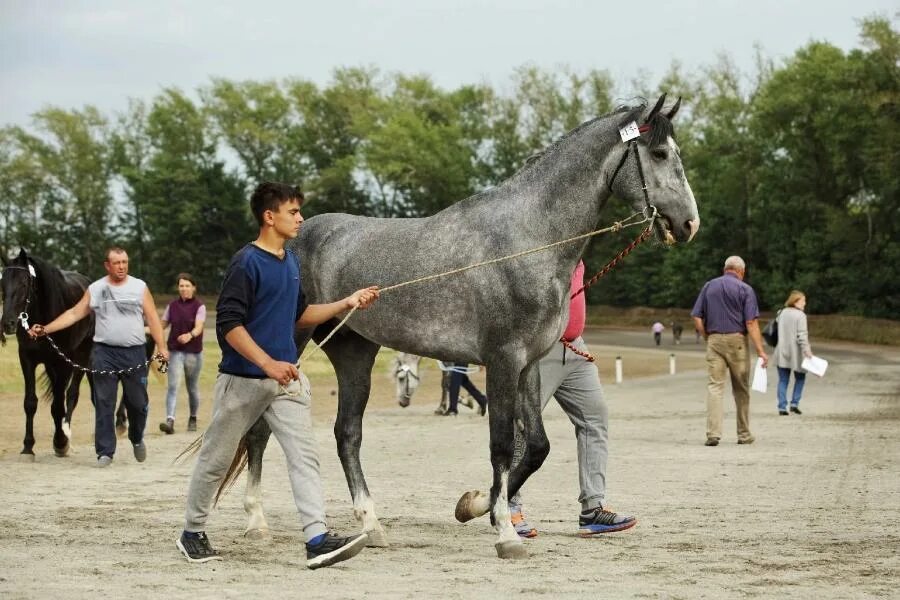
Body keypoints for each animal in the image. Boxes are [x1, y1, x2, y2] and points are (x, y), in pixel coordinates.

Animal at [0, 248, 94, 460]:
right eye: (2, 283)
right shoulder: (27, 359)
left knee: (72, 395)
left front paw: (60, 442)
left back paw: (67, 436)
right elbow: (30, 402)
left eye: (23, 283)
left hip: (83, 357)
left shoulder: (64, 362)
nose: (7, 323)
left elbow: (59, 405)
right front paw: (28, 447)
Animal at [227, 94, 704, 556]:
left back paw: (372, 526)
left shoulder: (529, 364)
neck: (526, 240)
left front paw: (473, 505)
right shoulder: (502, 360)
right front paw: (505, 532)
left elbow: (536, 447)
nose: (689, 223)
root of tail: (291, 241)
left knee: (348, 434)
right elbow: (501, 444)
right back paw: (256, 522)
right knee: (259, 429)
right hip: (287, 351)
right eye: (659, 153)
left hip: (354, 351)